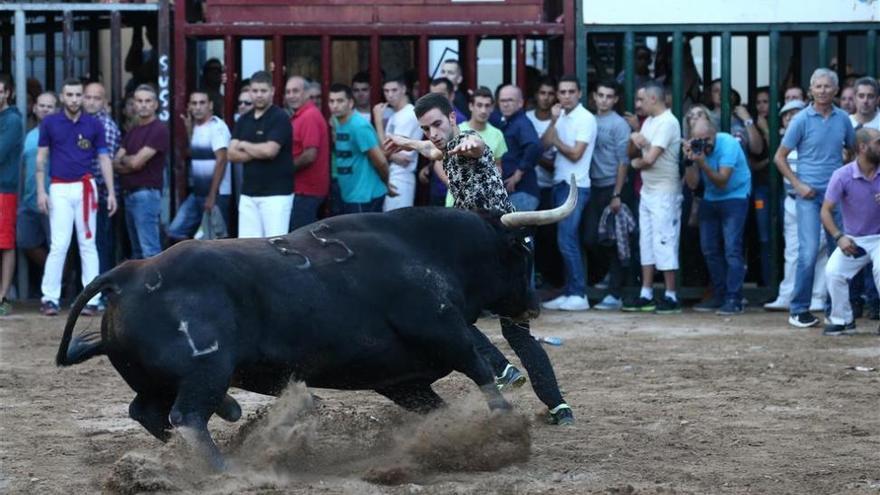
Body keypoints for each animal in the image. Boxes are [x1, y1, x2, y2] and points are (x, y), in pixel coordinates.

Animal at [55, 182, 576, 468]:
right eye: (523, 250)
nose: (532, 306)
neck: (426, 247)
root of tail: (129, 273)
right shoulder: (443, 329)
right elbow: (480, 368)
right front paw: (505, 425)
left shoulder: (401, 379)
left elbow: (438, 403)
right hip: (208, 369)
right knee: (186, 416)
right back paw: (222, 468)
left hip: (156, 380)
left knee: (149, 413)